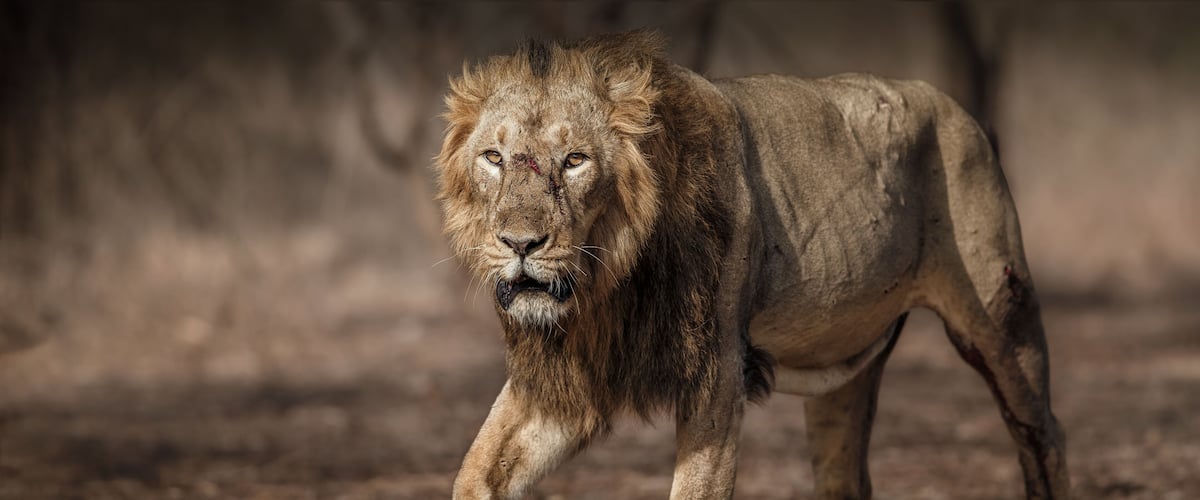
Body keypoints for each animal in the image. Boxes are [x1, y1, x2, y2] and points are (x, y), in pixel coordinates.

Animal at [435, 31, 1069, 499]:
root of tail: (958, 109)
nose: (519, 243)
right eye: (493, 157)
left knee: (1045, 436)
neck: (608, 284)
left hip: (1002, 322)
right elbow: (476, 472)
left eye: (574, 160)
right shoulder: (570, 376)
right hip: (842, 372)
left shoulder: (717, 378)